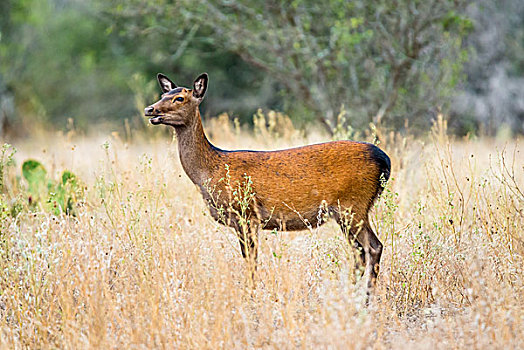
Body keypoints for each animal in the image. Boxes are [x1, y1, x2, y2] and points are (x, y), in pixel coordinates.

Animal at [145, 72, 390, 294]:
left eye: (180, 98)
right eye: (163, 94)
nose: (150, 109)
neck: (211, 171)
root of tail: (384, 160)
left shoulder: (246, 214)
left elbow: (251, 260)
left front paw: (251, 295)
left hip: (352, 205)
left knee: (371, 247)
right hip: (350, 210)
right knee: (364, 250)